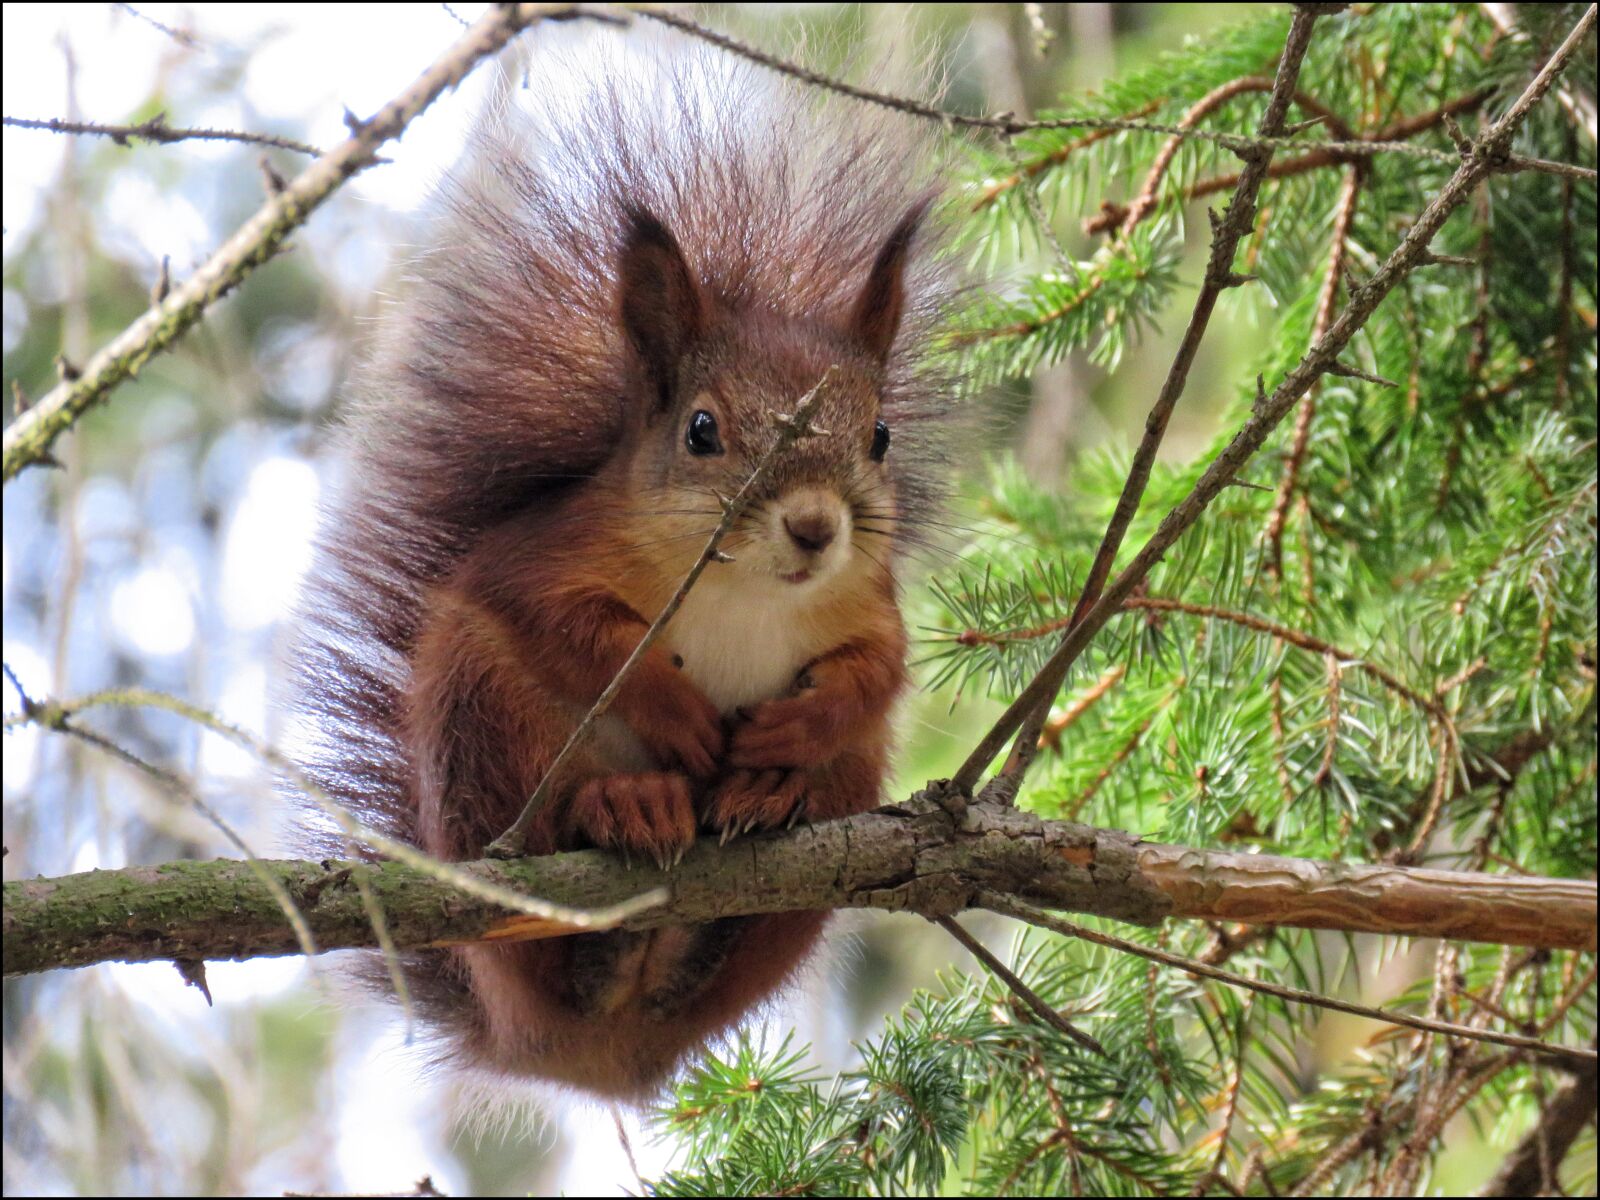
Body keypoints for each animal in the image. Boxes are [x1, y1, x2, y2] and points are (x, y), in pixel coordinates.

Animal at [291, 32, 964, 1101]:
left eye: (882, 436)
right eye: (702, 430)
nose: (815, 528)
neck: (740, 589)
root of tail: (583, 1057)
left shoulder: (869, 602)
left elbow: (877, 673)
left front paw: (789, 730)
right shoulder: (546, 560)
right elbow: (571, 629)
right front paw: (676, 713)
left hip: (853, 782)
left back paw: (766, 805)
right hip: (480, 717)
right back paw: (624, 806)